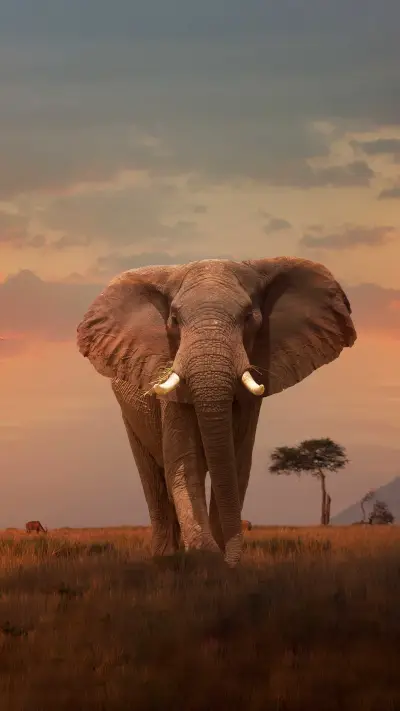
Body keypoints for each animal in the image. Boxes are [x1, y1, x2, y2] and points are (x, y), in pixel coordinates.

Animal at [77, 257, 356, 567]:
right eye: (174, 320)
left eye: (248, 317)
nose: (231, 560)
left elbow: (237, 462)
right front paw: (205, 555)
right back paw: (165, 557)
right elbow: (185, 461)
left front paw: (220, 559)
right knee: (153, 477)